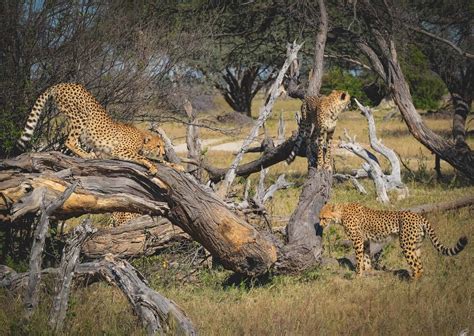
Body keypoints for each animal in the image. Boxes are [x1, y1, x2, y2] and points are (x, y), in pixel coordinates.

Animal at [17, 83, 165, 175]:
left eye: (163, 146)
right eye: (158, 146)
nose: (163, 153)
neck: (141, 136)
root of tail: (62, 83)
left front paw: (167, 162)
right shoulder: (119, 151)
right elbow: (144, 158)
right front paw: (152, 166)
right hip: (80, 116)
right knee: (70, 141)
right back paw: (87, 155)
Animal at [318, 202, 466, 278]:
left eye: (324, 218)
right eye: (320, 217)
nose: (319, 225)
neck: (341, 213)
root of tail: (418, 215)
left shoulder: (357, 240)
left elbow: (359, 257)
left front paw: (358, 273)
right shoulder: (365, 241)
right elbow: (366, 256)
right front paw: (367, 270)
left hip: (406, 245)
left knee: (416, 266)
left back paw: (412, 286)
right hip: (416, 245)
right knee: (420, 266)